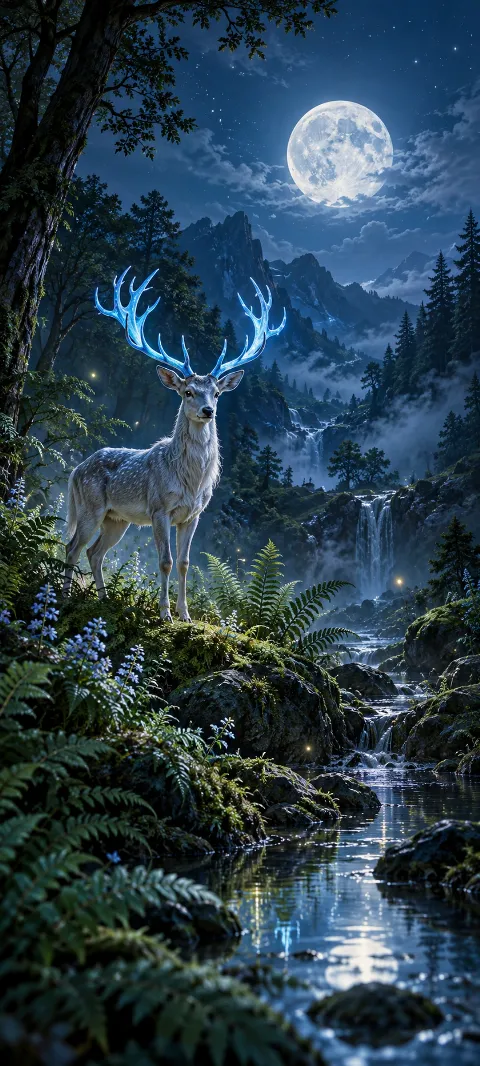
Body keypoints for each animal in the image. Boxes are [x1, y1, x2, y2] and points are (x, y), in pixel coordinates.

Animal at [63, 267, 286, 621]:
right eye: (187, 392)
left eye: (217, 393)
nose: (208, 411)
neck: (190, 481)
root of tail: (76, 470)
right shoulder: (159, 508)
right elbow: (165, 561)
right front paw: (165, 614)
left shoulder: (193, 514)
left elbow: (184, 563)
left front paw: (185, 614)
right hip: (90, 506)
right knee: (73, 546)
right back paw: (64, 594)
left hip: (117, 518)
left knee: (95, 552)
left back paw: (103, 599)